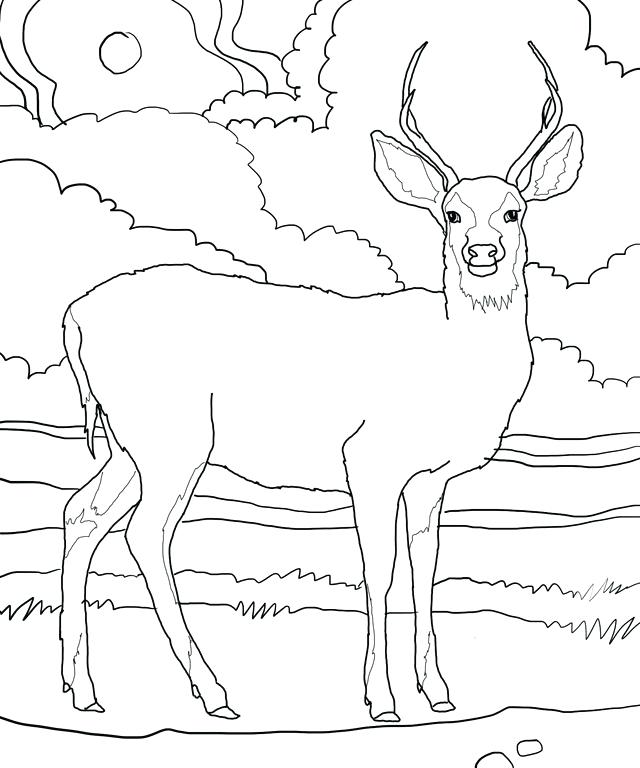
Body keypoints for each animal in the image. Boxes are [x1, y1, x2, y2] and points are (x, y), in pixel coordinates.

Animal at [59, 40, 583, 723]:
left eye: (513, 211)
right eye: (451, 213)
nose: (483, 253)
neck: (449, 359)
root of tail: (75, 315)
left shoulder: (430, 480)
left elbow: (425, 571)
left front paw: (438, 693)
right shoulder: (369, 460)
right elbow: (380, 572)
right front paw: (381, 700)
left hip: (129, 445)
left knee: (81, 515)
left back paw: (84, 692)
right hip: (173, 441)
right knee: (145, 535)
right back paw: (216, 694)